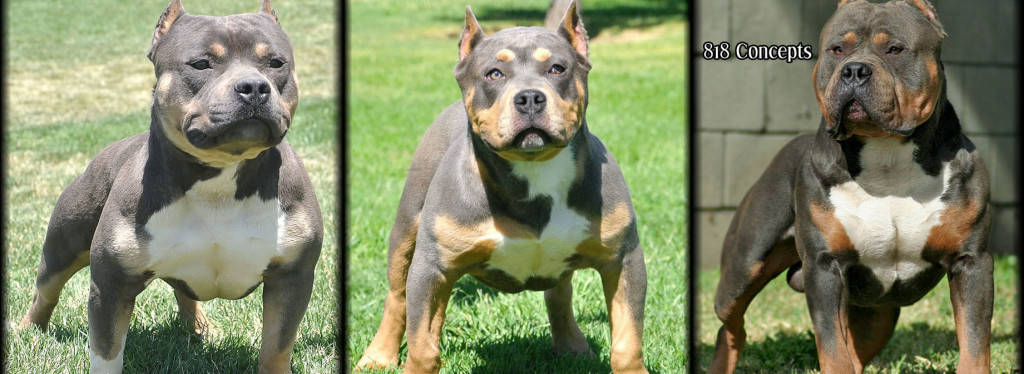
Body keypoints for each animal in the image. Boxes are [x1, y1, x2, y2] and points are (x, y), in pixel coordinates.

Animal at [20, 1, 323, 370]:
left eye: (276, 63)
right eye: (201, 63)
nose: (254, 86)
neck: (217, 180)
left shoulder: (292, 278)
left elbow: (276, 348)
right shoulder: (111, 284)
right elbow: (107, 352)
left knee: (185, 291)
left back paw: (200, 327)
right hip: (64, 245)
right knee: (46, 290)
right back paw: (27, 331)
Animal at [356, 1, 651, 370]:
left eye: (557, 68)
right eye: (493, 73)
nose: (530, 97)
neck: (534, 169)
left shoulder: (623, 260)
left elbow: (627, 341)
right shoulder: (431, 269)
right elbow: (423, 344)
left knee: (559, 292)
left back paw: (571, 343)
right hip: (406, 231)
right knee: (396, 296)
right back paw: (378, 355)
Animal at [712, 0, 991, 372]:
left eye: (894, 49)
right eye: (837, 49)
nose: (854, 70)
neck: (887, 159)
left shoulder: (971, 263)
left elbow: (974, 343)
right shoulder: (825, 268)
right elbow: (833, 348)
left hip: (878, 314)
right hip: (743, 269)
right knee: (731, 328)